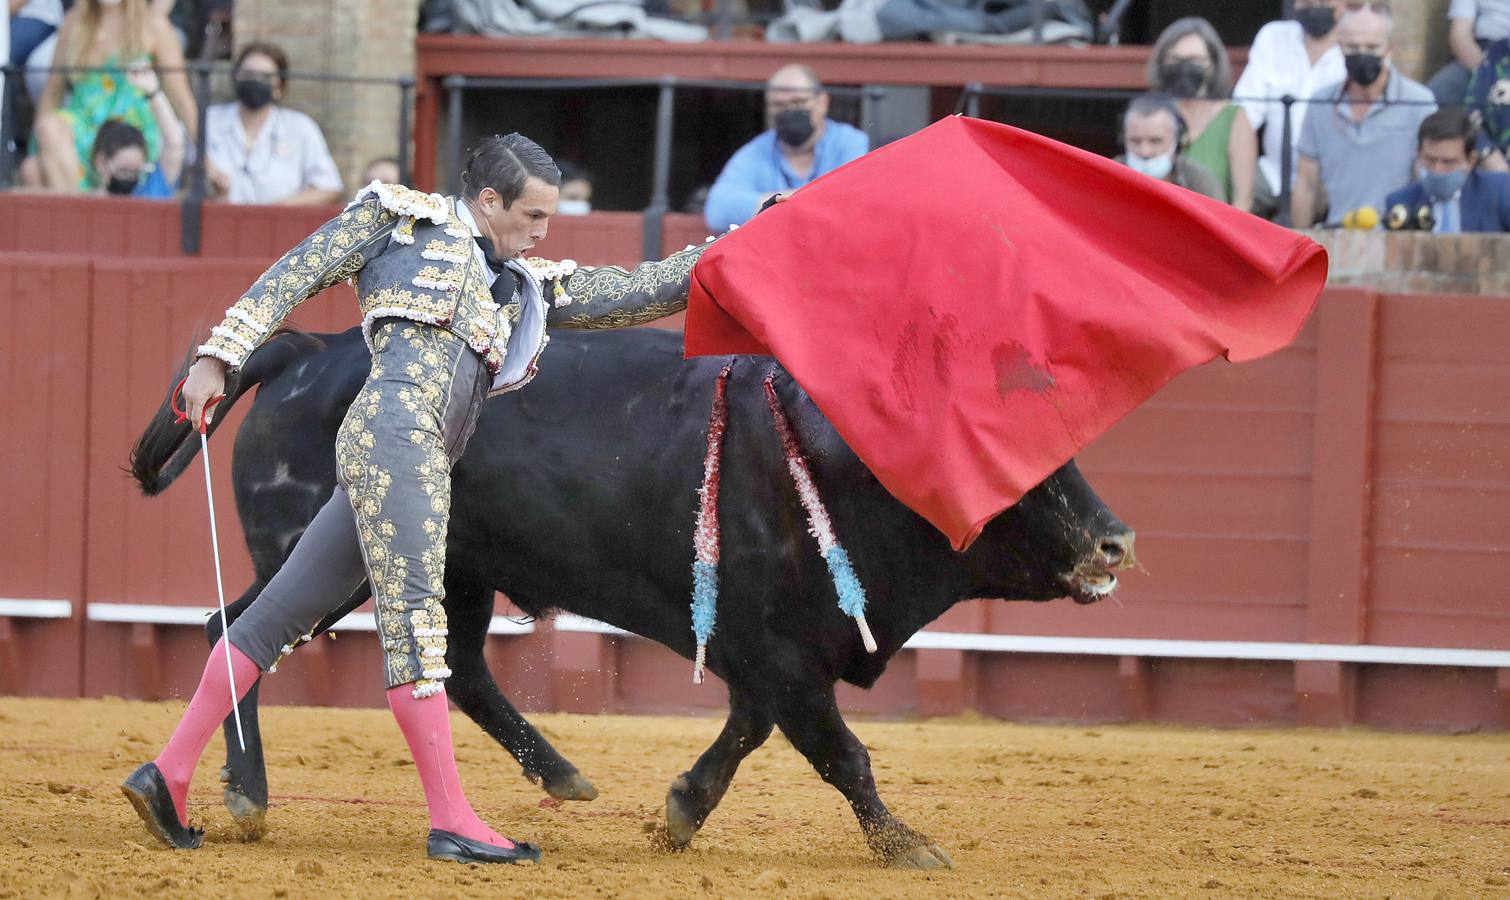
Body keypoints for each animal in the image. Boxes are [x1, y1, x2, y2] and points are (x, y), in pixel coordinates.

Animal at [132, 327, 1135, 869]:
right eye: (1021, 468)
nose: (1116, 541)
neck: (835, 458)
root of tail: (313, 350)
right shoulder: (780, 654)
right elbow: (842, 755)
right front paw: (907, 845)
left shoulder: (768, 658)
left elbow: (750, 734)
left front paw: (682, 810)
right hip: (331, 557)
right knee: (237, 629)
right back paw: (244, 794)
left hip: (455, 572)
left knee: (461, 670)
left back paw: (562, 775)